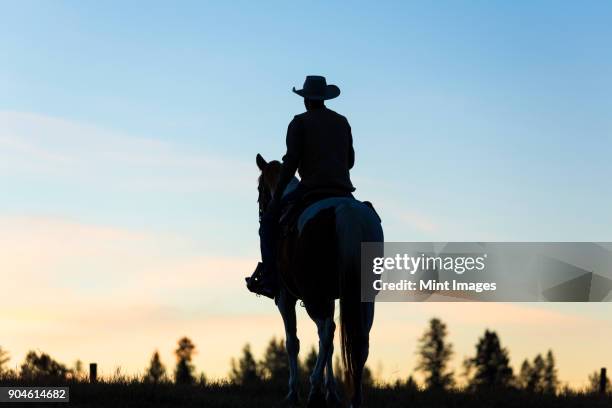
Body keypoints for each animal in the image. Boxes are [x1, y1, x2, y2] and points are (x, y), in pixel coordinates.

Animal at [255, 154, 382, 408]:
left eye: (259, 188)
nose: (262, 212)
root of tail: (345, 212)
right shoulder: (331, 298)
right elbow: (330, 345)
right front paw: (331, 391)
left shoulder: (285, 297)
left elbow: (292, 342)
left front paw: (293, 393)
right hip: (362, 297)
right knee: (357, 339)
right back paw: (355, 398)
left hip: (313, 295)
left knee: (327, 331)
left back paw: (314, 391)